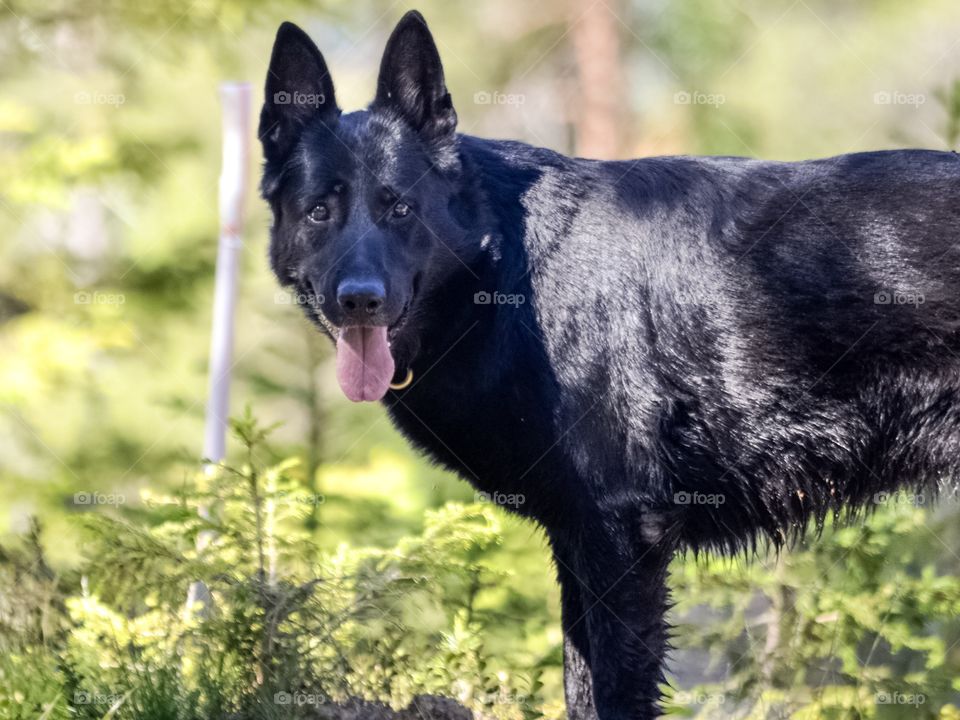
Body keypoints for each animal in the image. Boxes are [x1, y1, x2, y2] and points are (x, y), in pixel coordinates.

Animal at [258, 12, 960, 720]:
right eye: (320, 210)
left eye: (399, 207)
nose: (359, 301)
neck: (508, 268)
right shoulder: (578, 541)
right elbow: (580, 688)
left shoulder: (621, 538)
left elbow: (614, 691)